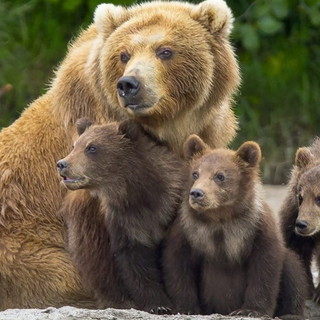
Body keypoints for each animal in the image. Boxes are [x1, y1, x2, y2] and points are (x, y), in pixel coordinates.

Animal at [0, 0, 239, 310]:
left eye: (165, 51)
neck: (165, 128)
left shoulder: (206, 134)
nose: (129, 84)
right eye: (124, 54)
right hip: (21, 249)